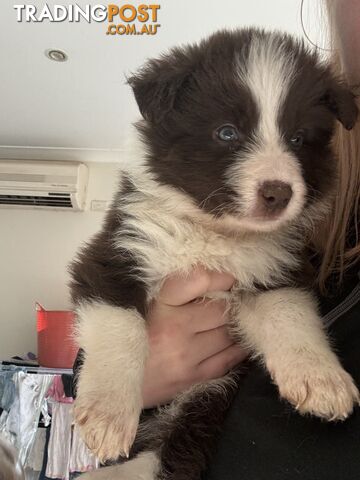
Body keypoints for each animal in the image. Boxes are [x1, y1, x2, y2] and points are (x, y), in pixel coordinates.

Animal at [69, 29, 358, 480]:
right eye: (226, 133)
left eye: (297, 138)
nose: (278, 193)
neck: (217, 235)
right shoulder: (116, 253)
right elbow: (122, 328)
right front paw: (108, 414)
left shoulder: (275, 272)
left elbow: (290, 315)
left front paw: (321, 378)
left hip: (208, 397)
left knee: (176, 447)